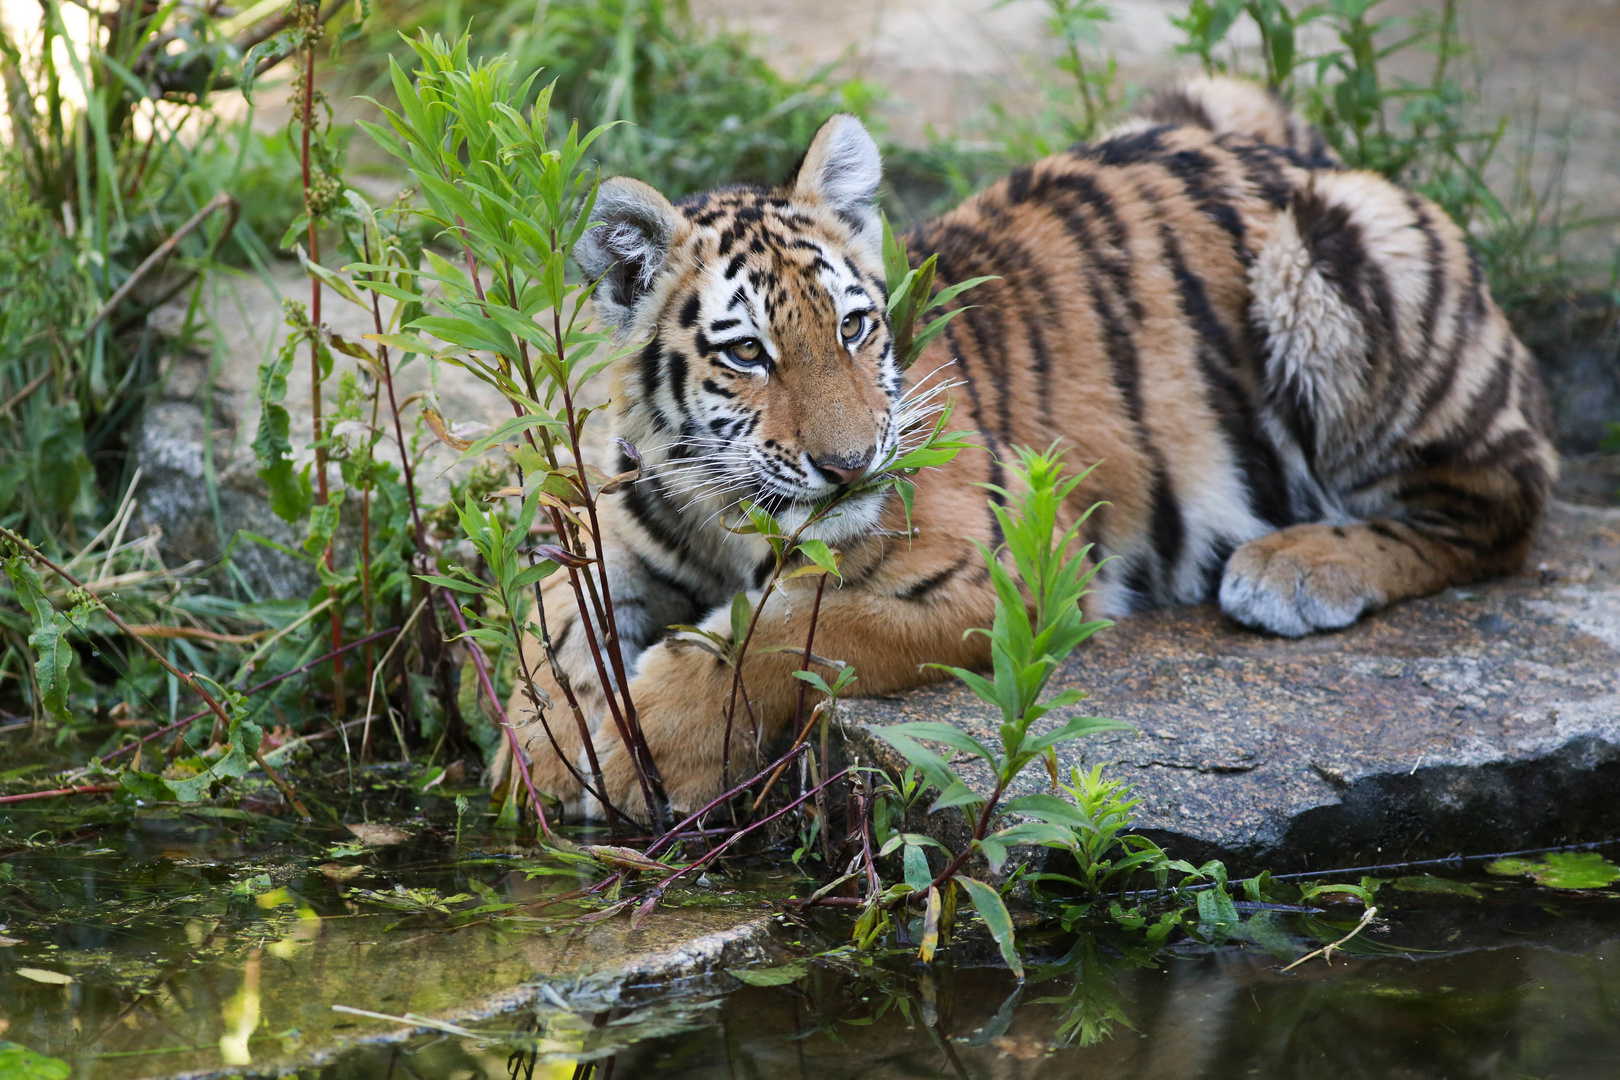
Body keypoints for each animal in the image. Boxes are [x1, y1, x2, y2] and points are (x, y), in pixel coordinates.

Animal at [492, 78, 1555, 819]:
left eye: (852, 328)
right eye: (748, 352)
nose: (851, 466)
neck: (732, 514)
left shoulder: (1002, 579)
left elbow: (787, 634)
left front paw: (638, 751)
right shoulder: (625, 523)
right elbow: (549, 621)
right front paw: (536, 749)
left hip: (1348, 240)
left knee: (1503, 506)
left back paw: (1296, 568)